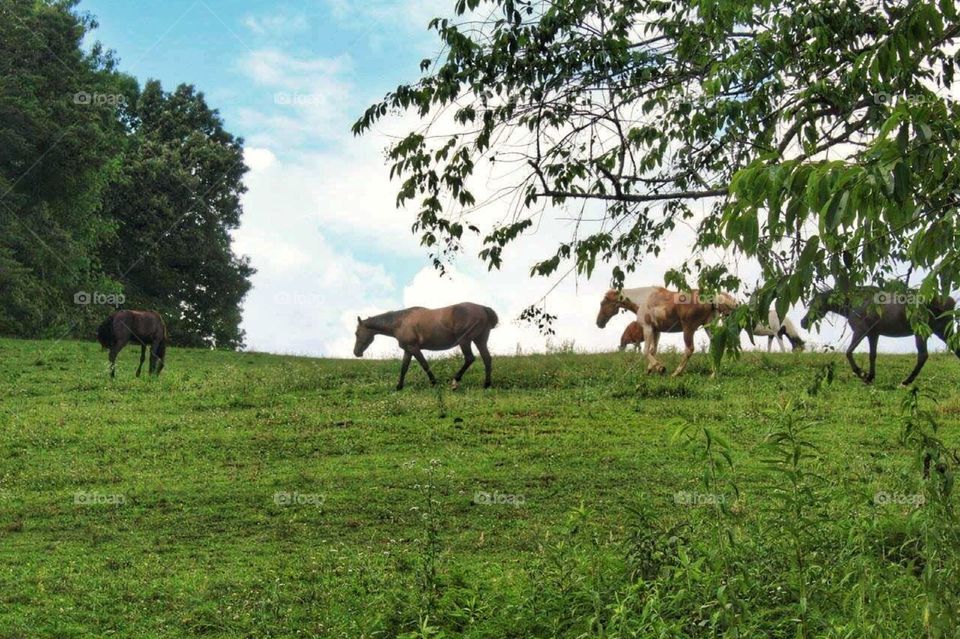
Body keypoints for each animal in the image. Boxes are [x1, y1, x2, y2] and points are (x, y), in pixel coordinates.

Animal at [354, 302, 499, 390]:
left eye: (356, 333)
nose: (356, 352)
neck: (401, 322)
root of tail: (483, 308)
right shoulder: (408, 350)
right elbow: (404, 368)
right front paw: (399, 387)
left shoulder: (414, 348)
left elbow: (424, 365)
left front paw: (434, 382)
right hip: (480, 340)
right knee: (487, 359)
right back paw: (486, 384)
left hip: (465, 341)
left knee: (469, 358)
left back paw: (455, 382)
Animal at [597, 287, 737, 376]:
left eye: (603, 302)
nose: (599, 323)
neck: (644, 299)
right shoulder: (656, 331)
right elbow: (653, 350)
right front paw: (650, 370)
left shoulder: (647, 328)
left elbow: (646, 351)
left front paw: (660, 368)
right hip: (708, 326)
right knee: (714, 345)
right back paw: (714, 373)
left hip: (688, 329)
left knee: (689, 349)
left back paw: (676, 373)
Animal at [801, 288, 960, 386]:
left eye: (814, 303)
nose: (803, 322)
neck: (857, 303)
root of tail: (949, 301)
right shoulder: (873, 335)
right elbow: (872, 355)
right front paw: (870, 377)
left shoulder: (860, 332)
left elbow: (849, 352)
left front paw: (862, 374)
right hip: (942, 332)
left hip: (922, 333)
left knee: (923, 356)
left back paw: (906, 382)